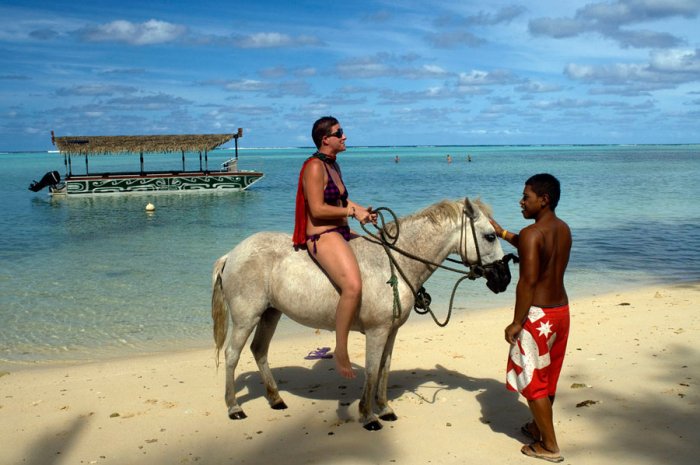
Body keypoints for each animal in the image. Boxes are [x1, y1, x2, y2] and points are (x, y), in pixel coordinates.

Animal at [211, 196, 512, 428]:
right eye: (490, 236)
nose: (505, 278)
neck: (393, 262)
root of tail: (232, 254)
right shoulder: (377, 332)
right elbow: (370, 369)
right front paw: (368, 416)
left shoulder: (391, 332)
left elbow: (384, 368)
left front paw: (385, 408)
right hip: (246, 318)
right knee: (232, 355)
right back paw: (233, 407)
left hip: (271, 314)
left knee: (259, 350)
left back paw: (275, 398)